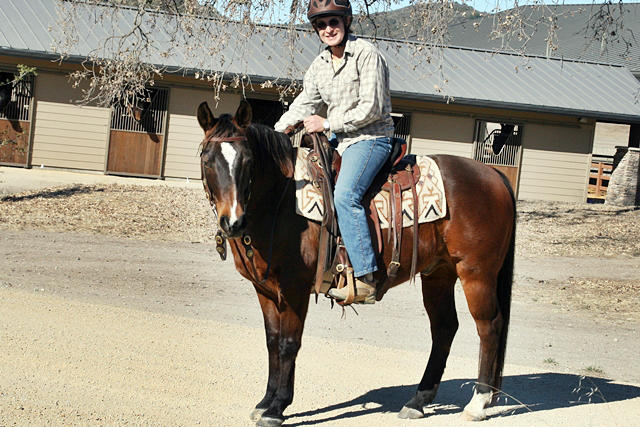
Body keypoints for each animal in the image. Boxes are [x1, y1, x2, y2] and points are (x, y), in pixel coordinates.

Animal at [198, 99, 516, 424]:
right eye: (207, 160)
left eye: (248, 161)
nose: (233, 222)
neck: (282, 199)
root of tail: (494, 174)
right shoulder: (266, 290)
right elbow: (272, 341)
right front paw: (265, 401)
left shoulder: (295, 288)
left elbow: (288, 343)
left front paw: (277, 408)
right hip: (439, 273)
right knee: (444, 328)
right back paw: (418, 401)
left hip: (476, 273)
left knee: (489, 326)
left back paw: (478, 402)